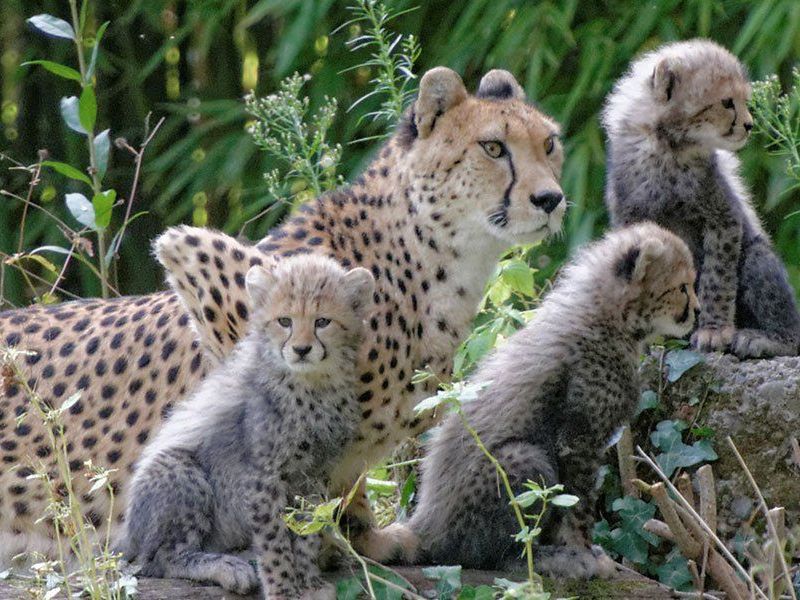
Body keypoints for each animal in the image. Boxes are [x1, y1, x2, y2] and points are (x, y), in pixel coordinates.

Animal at [0, 67, 564, 564]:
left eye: (549, 144)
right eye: (493, 148)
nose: (551, 198)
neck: (436, 256)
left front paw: (363, 538)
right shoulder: (200, 260)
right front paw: (321, 537)